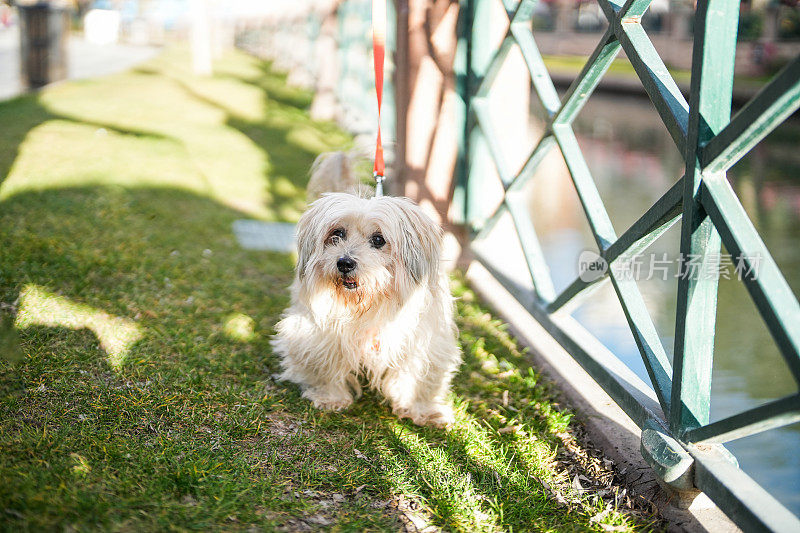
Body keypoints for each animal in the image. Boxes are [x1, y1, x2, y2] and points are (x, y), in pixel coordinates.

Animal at [274, 153, 462, 424]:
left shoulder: (425, 340)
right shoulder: (318, 333)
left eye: (378, 239)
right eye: (337, 233)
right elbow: (326, 363)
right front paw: (330, 396)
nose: (344, 262)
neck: (371, 302)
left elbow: (420, 377)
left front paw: (423, 410)